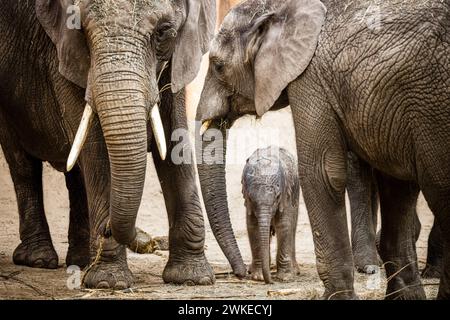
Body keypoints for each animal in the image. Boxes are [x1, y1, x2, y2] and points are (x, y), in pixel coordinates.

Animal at [0, 0, 217, 290]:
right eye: (81, 30)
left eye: (163, 31)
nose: (148, 240)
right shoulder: (62, 51)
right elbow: (96, 149)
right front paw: (108, 282)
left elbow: (174, 136)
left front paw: (193, 278)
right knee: (23, 165)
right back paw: (39, 259)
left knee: (75, 174)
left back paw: (80, 261)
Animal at [241, 146, 300, 284]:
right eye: (250, 198)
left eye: (277, 197)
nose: (271, 282)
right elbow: (253, 227)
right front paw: (258, 277)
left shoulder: (286, 195)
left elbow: (283, 225)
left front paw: (285, 277)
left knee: (292, 227)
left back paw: (295, 271)